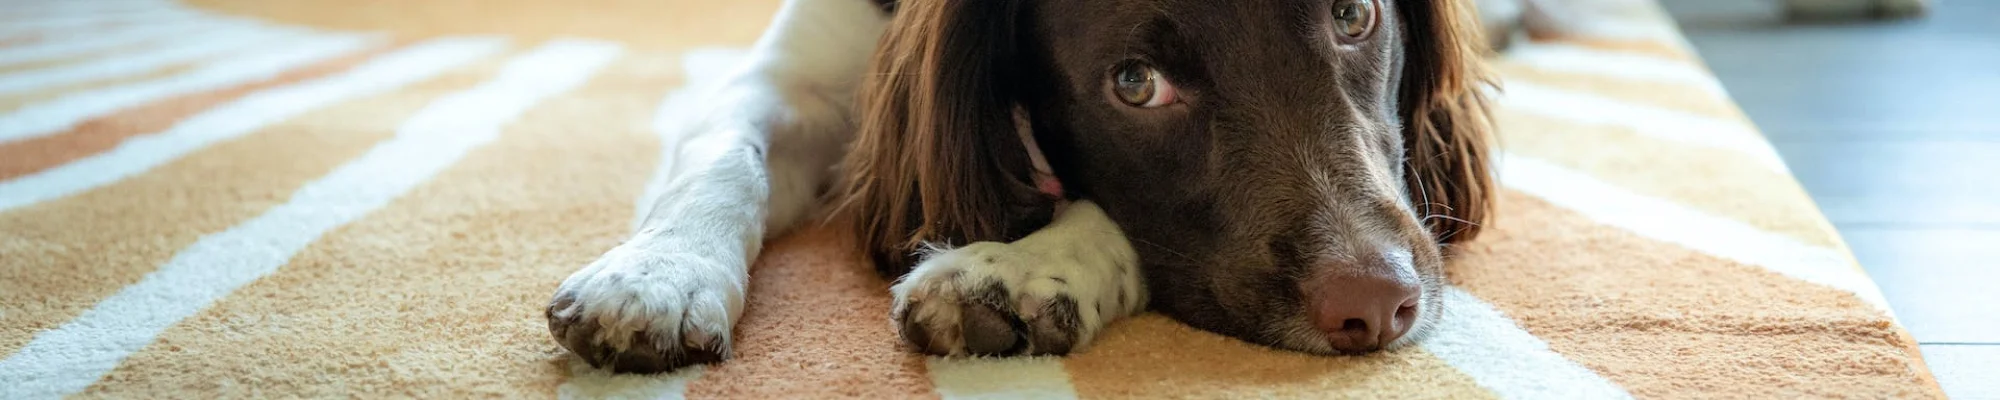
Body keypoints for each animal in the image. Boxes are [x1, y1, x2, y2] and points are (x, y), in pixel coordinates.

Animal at [540, 0, 1496, 376]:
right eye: (1135, 83)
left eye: (1353, 14)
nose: (1375, 305)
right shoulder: (784, 79)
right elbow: (722, 159)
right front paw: (658, 275)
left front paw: (1015, 270)